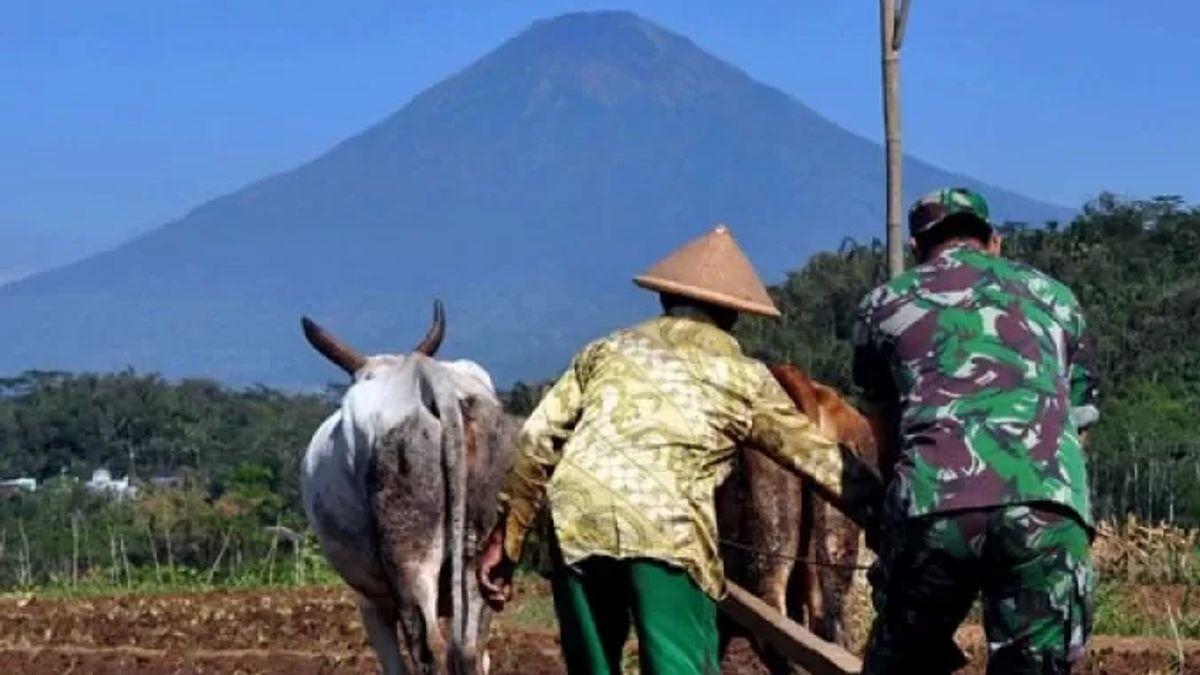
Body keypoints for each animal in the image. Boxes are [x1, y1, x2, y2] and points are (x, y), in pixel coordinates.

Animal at [297, 300, 518, 672]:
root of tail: (430, 379)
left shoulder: (371, 600)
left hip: (409, 556)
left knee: (430, 646)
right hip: (482, 554)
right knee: (469, 648)